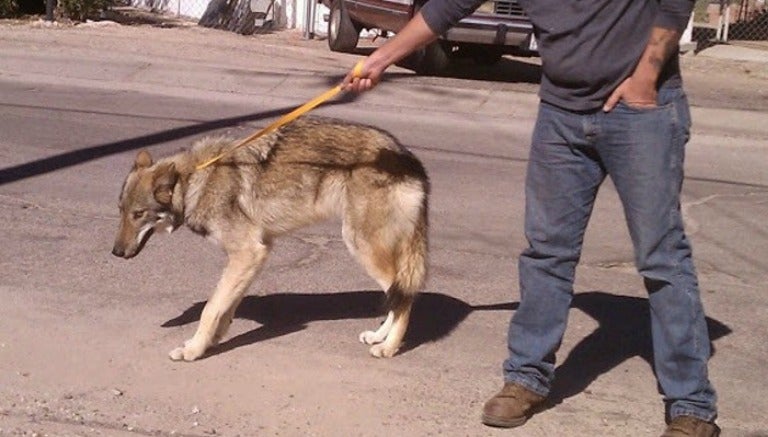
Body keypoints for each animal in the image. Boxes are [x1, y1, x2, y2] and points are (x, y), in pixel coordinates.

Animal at [111, 116, 428, 362]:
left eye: (138, 214)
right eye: (121, 211)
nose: (115, 252)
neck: (196, 181)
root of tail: (413, 162)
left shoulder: (248, 252)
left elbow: (210, 309)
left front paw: (193, 350)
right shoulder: (255, 254)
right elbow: (226, 306)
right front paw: (211, 340)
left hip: (361, 247)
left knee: (404, 298)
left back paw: (389, 348)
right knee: (398, 296)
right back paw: (378, 337)